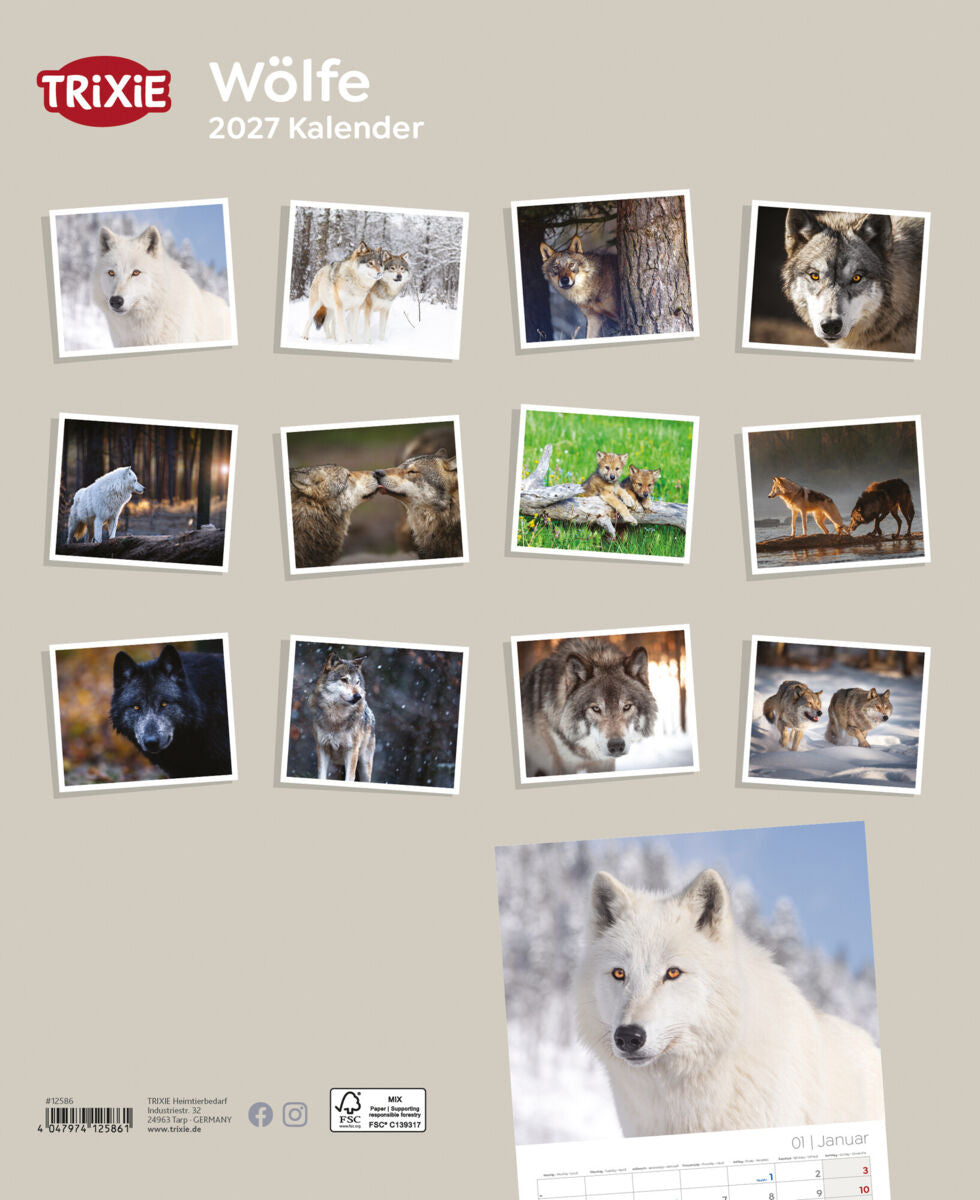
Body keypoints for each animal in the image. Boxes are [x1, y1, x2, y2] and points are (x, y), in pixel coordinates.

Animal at [305, 652, 376, 782]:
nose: (358, 696)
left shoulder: (351, 750)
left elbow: (350, 778)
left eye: (357, 682)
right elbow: (321, 776)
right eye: (344, 680)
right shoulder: (322, 747)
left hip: (364, 768)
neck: (336, 717)